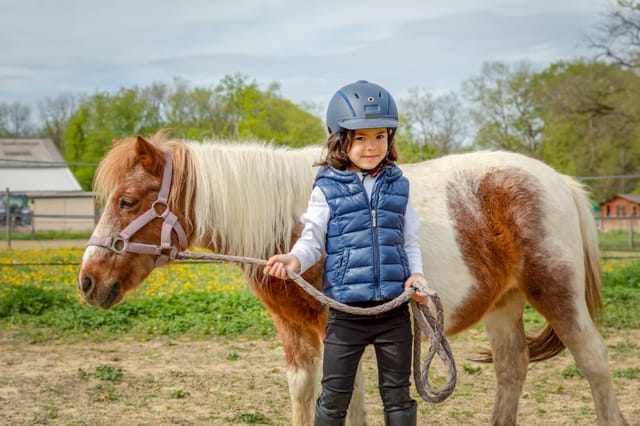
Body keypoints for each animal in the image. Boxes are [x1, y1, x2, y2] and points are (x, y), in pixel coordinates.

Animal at [77, 131, 628, 426]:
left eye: (128, 201)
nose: (87, 281)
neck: (296, 221)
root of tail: (559, 182)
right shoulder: (294, 331)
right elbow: (305, 392)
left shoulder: (338, 330)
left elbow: (350, 401)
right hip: (503, 303)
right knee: (512, 369)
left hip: (555, 292)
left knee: (595, 363)